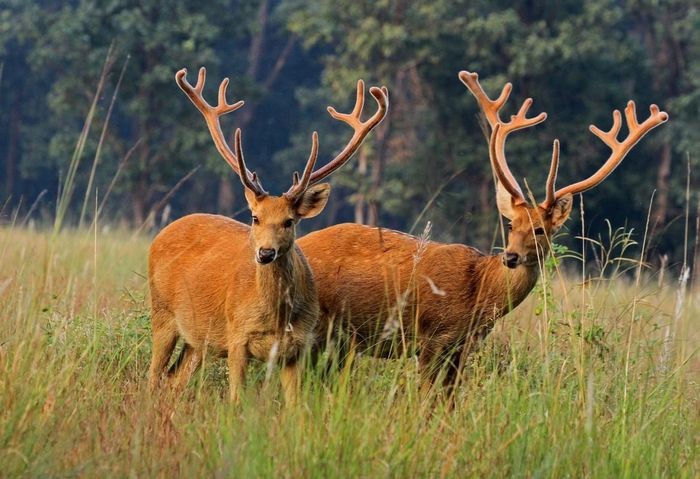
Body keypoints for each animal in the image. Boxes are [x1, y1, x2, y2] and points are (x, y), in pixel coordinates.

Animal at [148, 67, 388, 404]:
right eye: (255, 217)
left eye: (290, 221)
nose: (265, 253)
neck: (276, 318)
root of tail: (164, 231)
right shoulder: (237, 336)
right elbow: (236, 398)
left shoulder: (298, 345)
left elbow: (294, 403)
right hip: (162, 312)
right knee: (153, 374)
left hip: (198, 340)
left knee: (174, 378)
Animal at [296, 69, 668, 390]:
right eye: (511, 224)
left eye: (540, 230)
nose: (511, 257)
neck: (479, 294)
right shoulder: (431, 339)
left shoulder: (461, 348)